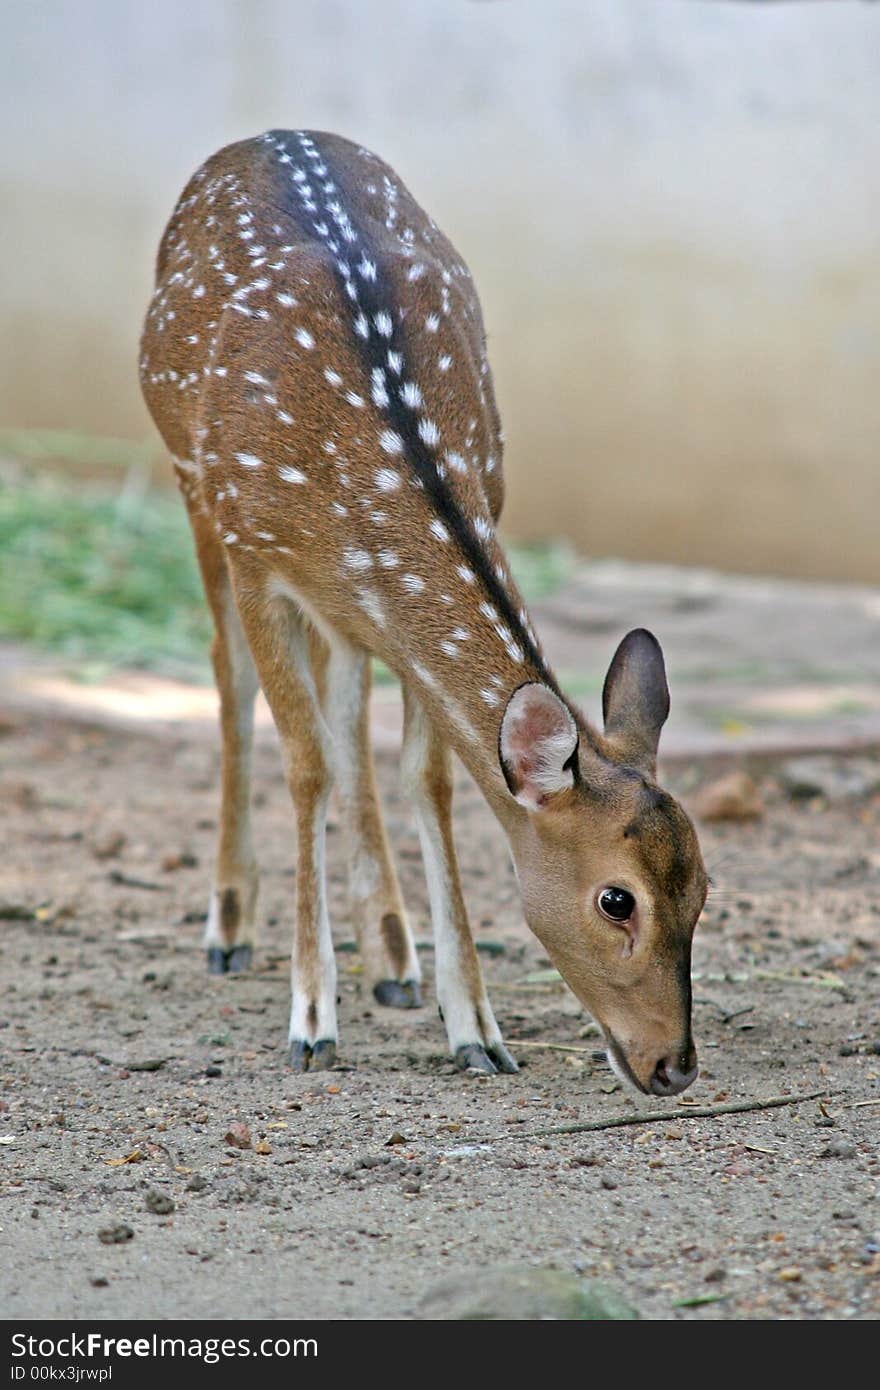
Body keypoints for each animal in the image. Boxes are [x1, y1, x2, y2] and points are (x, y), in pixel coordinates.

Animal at [142, 130, 706, 1095]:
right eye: (616, 899)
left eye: (703, 888)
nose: (674, 1066)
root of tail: (264, 135)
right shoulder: (256, 554)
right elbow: (304, 765)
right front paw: (311, 1020)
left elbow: (424, 777)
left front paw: (473, 1027)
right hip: (192, 485)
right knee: (229, 676)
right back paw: (231, 924)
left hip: (338, 602)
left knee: (345, 703)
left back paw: (392, 955)